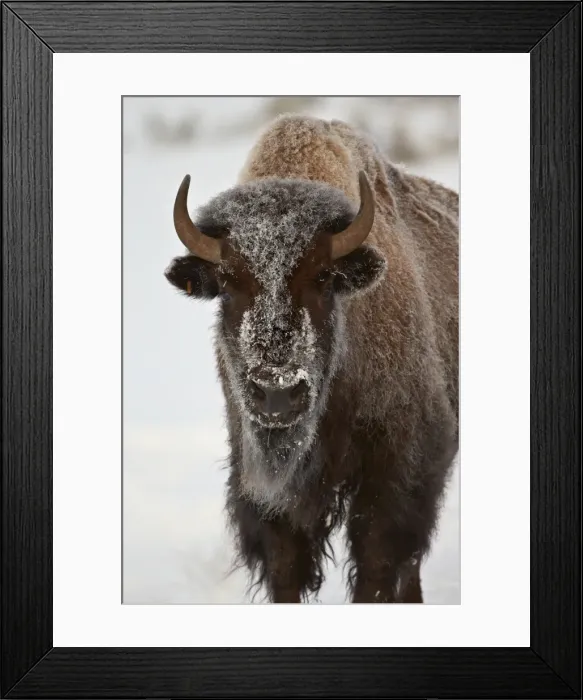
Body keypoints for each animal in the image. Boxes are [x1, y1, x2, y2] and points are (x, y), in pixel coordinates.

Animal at [165, 114, 459, 603]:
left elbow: (378, 570)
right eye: (227, 283)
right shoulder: (265, 494)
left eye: (323, 278)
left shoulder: (400, 471)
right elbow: (286, 570)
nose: (277, 393)